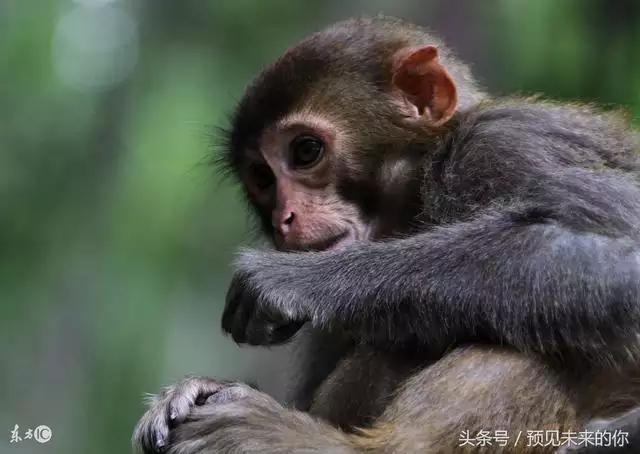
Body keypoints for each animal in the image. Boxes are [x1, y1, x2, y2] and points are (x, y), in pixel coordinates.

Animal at [132, 15, 640, 454]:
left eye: (305, 151)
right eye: (261, 178)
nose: (284, 219)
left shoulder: (510, 146)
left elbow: (624, 262)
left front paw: (289, 281)